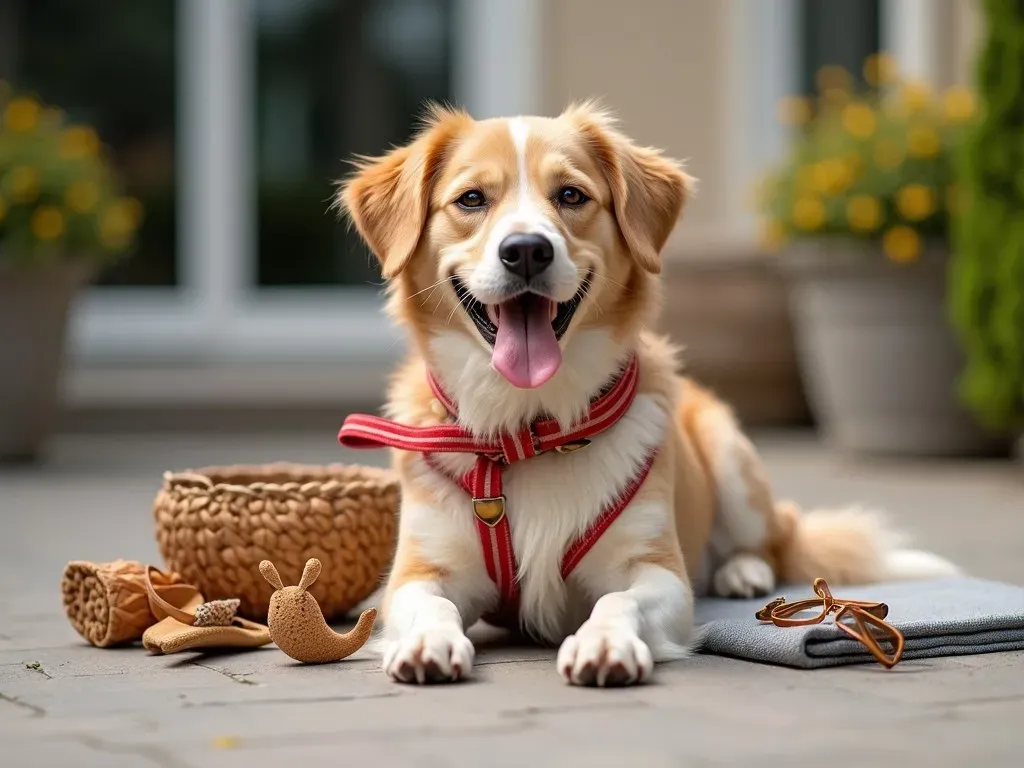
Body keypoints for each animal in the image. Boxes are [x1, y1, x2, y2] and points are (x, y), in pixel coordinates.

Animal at [335, 100, 958, 684]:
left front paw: (605, 642)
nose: (528, 249)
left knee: (773, 541)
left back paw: (742, 571)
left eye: (570, 195)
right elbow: (429, 607)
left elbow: (617, 601)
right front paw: (428, 642)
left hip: (731, 457)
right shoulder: (420, 573)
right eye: (470, 200)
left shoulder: (657, 570)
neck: (532, 429)